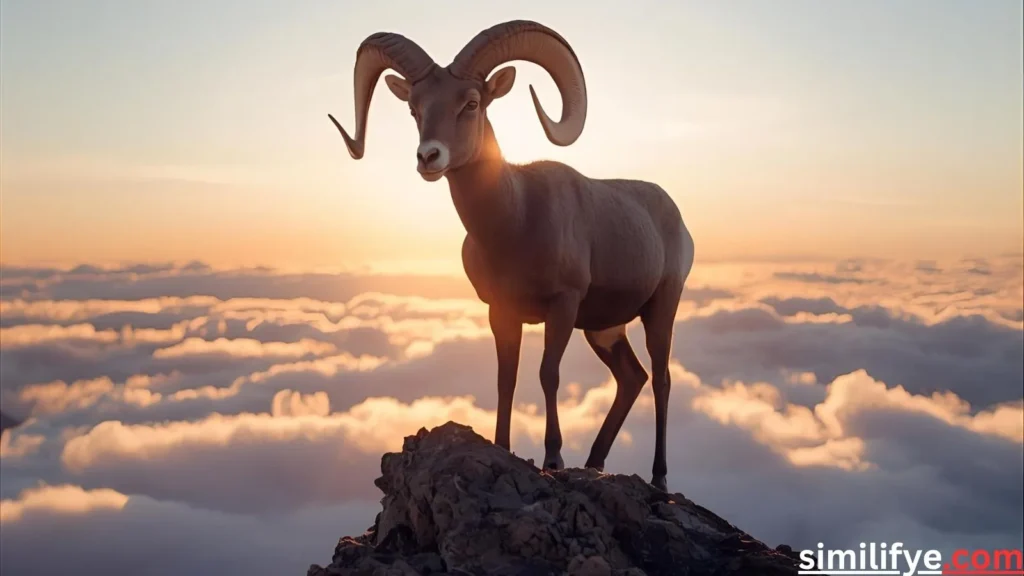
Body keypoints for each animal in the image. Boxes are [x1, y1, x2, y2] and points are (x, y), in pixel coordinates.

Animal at [328, 20, 695, 492]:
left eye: (471, 103)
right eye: (413, 108)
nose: (429, 157)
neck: (514, 223)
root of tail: (675, 216)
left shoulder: (562, 306)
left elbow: (548, 374)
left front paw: (553, 458)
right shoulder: (501, 312)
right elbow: (507, 378)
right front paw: (503, 447)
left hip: (660, 309)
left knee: (661, 380)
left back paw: (658, 479)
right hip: (604, 330)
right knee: (632, 378)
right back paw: (594, 463)